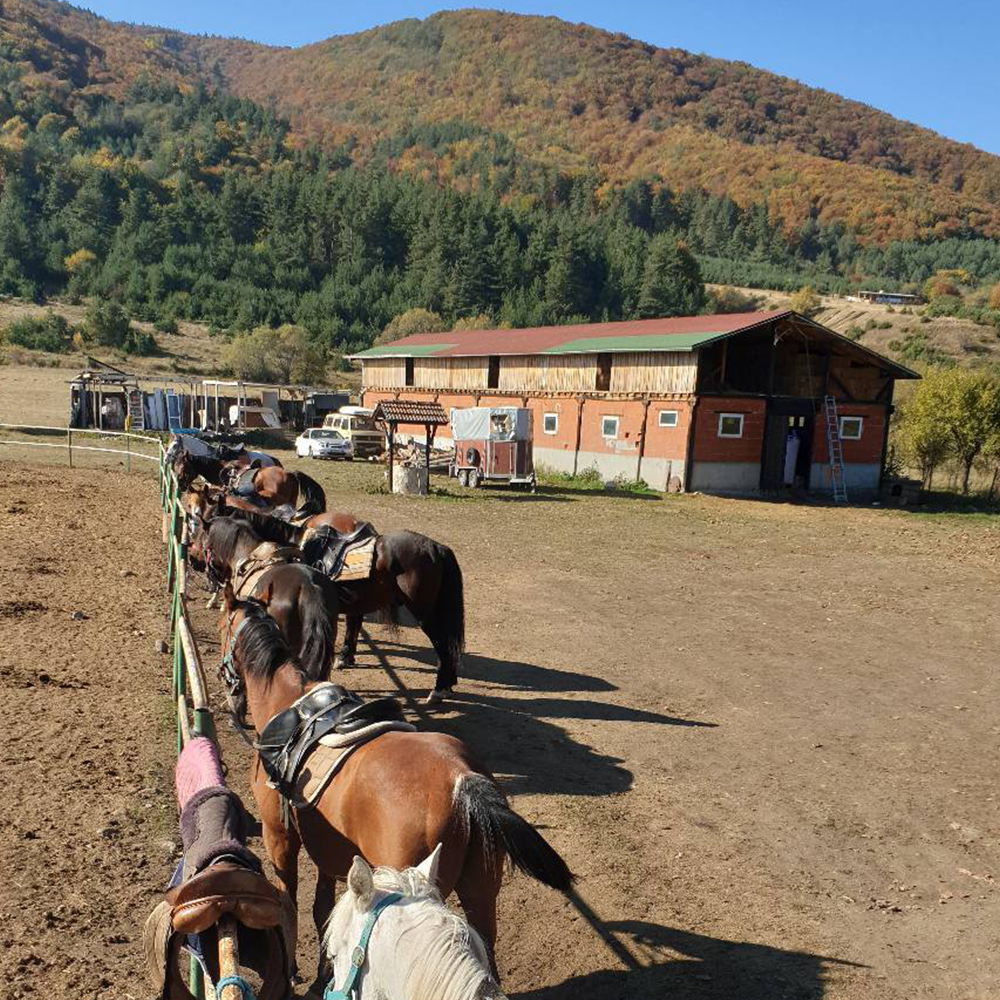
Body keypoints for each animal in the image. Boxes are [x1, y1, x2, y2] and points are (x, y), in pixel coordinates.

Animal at [215, 508, 464, 704]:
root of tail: (436, 547)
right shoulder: (353, 605)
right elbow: (352, 628)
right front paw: (345, 658)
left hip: (425, 614)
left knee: (443, 644)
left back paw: (440, 689)